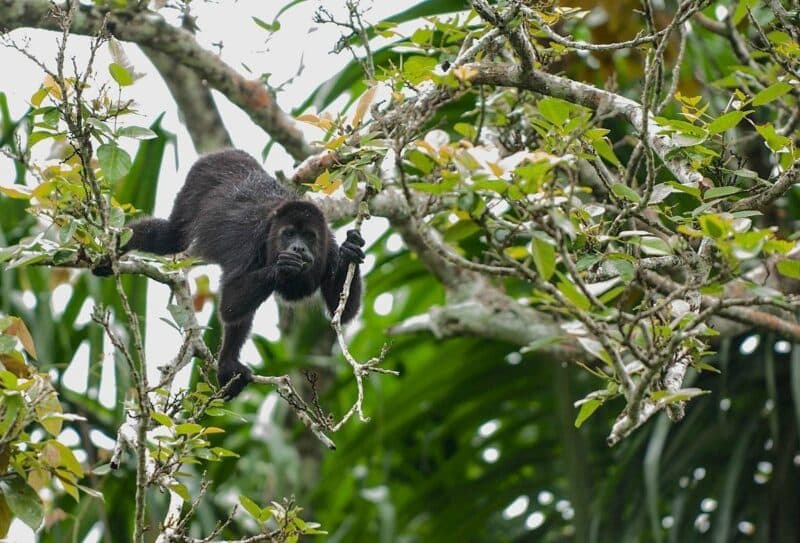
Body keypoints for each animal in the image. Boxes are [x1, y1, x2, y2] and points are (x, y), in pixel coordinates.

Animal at [95, 149, 365, 398]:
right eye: (289, 234)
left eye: (309, 236)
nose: (298, 248)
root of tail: (227, 153)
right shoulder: (252, 244)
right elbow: (230, 304)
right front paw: (282, 266)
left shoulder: (328, 248)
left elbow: (342, 314)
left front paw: (350, 250)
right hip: (197, 181)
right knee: (171, 236)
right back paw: (112, 249)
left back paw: (227, 367)